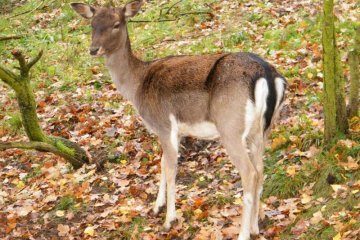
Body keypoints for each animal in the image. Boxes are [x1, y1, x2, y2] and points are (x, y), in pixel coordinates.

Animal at [71, 0, 286, 239]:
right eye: (92, 24)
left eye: (116, 24)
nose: (93, 49)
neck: (138, 86)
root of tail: (267, 75)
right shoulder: (174, 131)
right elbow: (163, 163)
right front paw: (156, 207)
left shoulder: (164, 124)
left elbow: (171, 168)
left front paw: (168, 220)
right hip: (262, 130)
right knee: (261, 170)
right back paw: (256, 226)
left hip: (230, 127)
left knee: (249, 173)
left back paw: (243, 233)